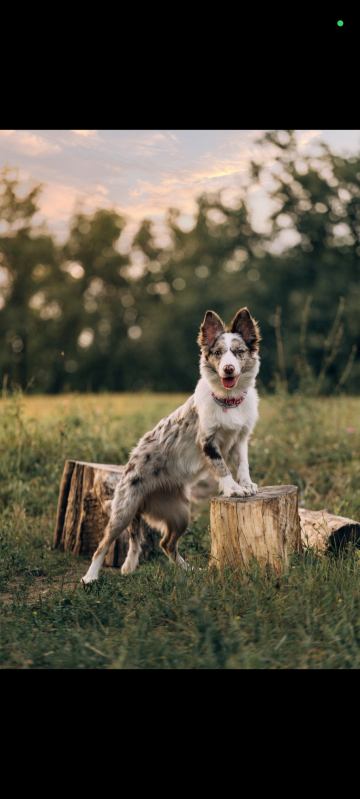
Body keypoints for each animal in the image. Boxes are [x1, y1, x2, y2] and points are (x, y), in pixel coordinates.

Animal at [82, 306, 260, 580]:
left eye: (239, 352)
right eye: (218, 353)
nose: (229, 369)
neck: (228, 400)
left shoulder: (240, 439)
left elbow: (242, 466)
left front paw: (247, 485)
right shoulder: (208, 442)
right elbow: (222, 468)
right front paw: (233, 489)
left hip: (180, 514)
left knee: (167, 544)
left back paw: (190, 570)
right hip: (123, 509)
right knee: (102, 545)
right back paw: (90, 577)